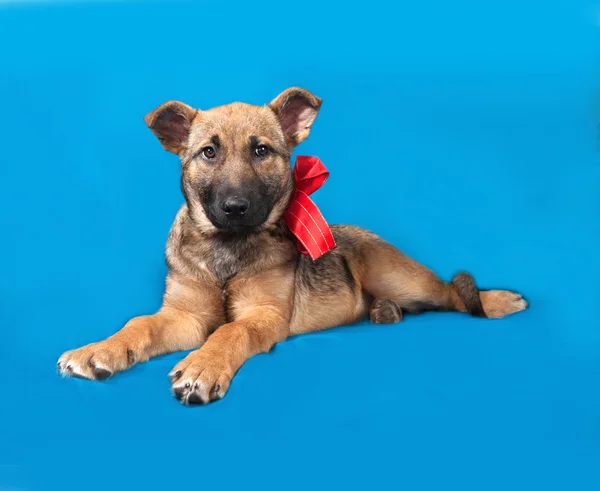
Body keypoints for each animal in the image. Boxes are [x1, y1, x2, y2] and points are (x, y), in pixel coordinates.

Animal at [55, 87, 524, 404]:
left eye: (261, 151)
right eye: (208, 153)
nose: (235, 207)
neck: (227, 249)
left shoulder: (264, 314)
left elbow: (230, 330)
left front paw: (204, 365)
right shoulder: (184, 317)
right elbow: (140, 324)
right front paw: (99, 350)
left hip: (399, 276)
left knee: (450, 292)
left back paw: (498, 300)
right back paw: (383, 311)